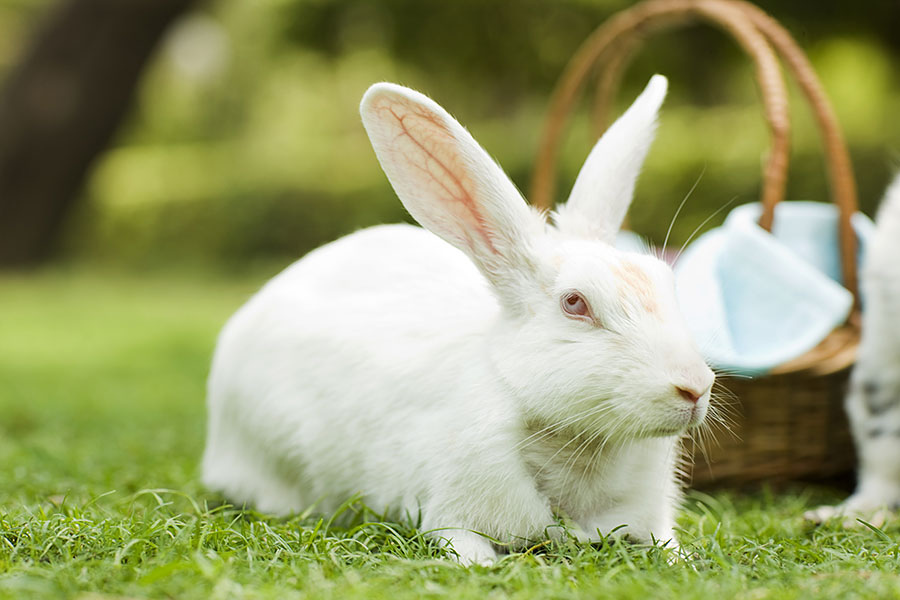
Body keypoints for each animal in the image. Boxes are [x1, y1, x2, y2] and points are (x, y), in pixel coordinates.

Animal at [202, 74, 715, 565]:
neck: (584, 446)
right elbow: (463, 546)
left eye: (665, 281)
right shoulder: (451, 512)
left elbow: (665, 542)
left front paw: (686, 559)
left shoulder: (650, 517)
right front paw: (482, 567)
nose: (694, 387)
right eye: (575, 303)